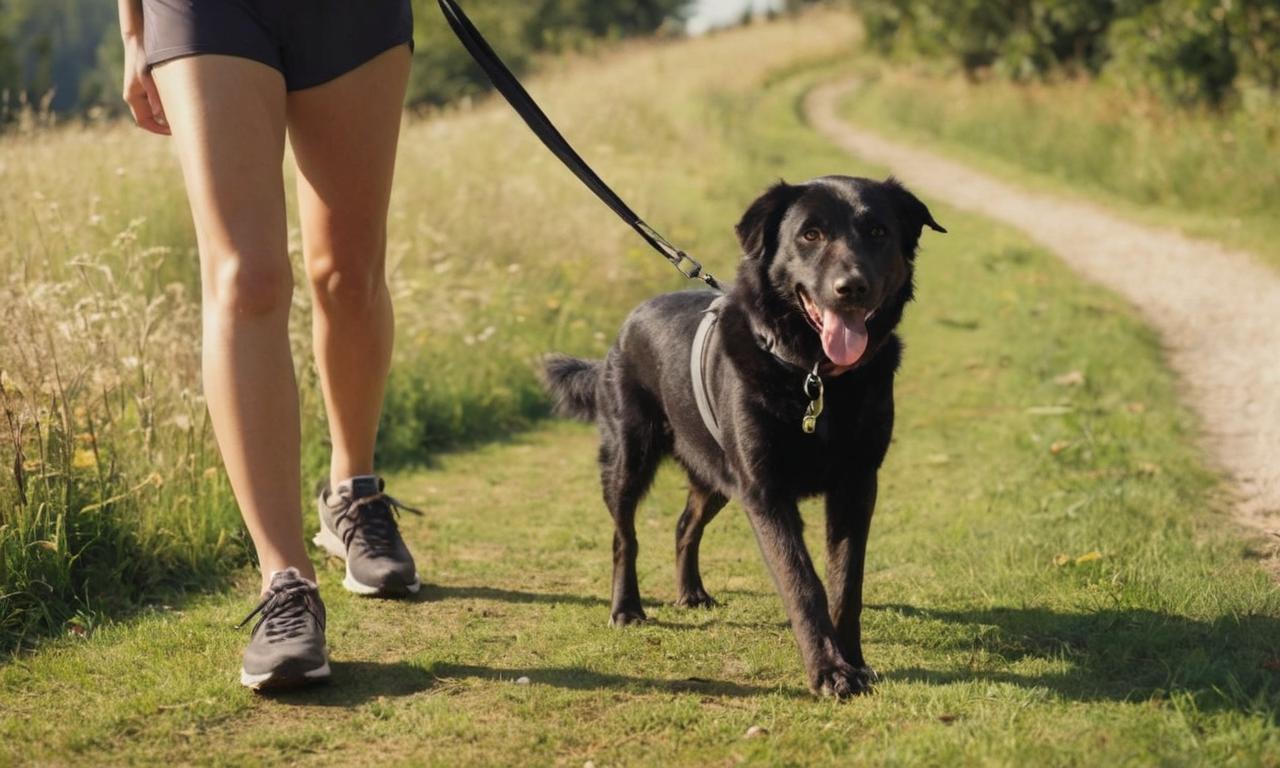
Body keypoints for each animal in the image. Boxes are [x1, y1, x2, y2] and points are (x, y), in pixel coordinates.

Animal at [545, 176, 947, 701]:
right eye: (810, 234)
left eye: (878, 231)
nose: (852, 288)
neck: (814, 377)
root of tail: (624, 328)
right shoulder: (766, 494)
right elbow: (803, 582)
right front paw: (829, 671)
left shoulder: (856, 486)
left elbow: (846, 582)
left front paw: (854, 661)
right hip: (629, 461)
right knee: (623, 536)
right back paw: (627, 608)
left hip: (718, 476)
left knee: (684, 526)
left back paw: (691, 592)